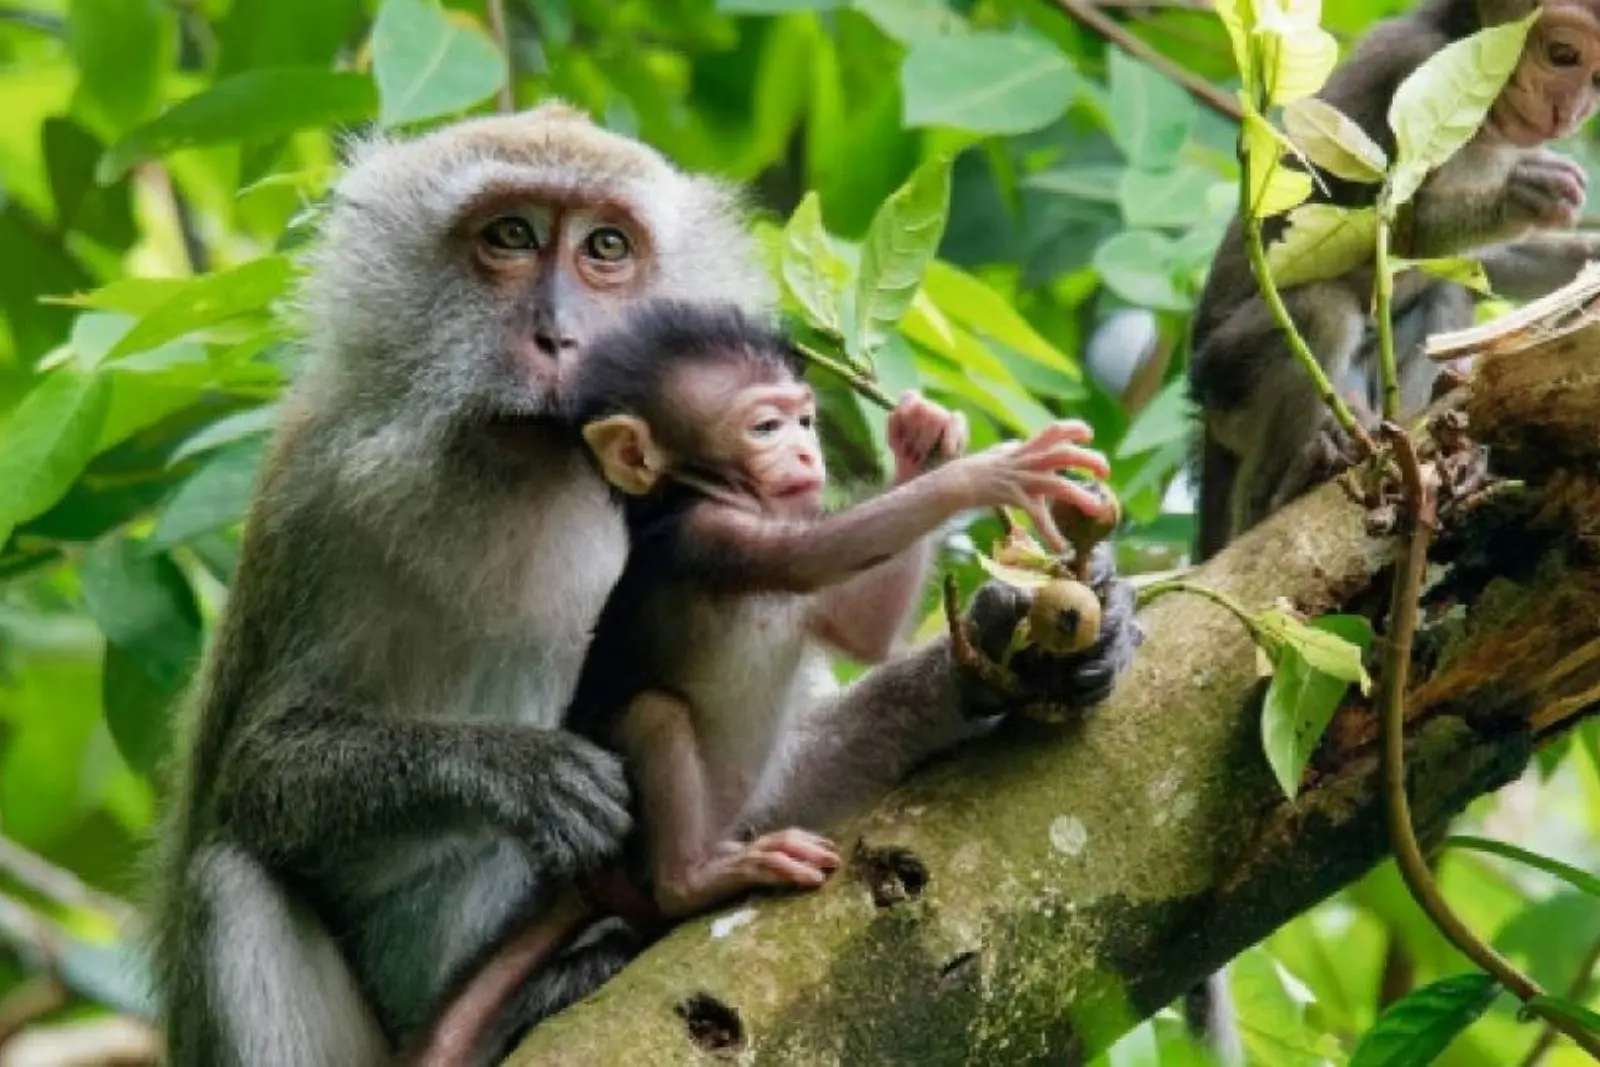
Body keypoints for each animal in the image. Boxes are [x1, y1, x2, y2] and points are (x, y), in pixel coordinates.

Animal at [148, 101, 781, 1067]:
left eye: (606, 247)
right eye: (511, 235)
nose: (558, 337)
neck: (531, 474)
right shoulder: (315, 496)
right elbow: (255, 771)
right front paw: (515, 770)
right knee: (230, 880)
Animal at [409, 300, 1118, 1067]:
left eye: (804, 420)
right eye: (765, 428)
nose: (806, 454)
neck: (718, 494)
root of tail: (591, 878)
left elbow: (863, 629)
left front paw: (923, 445)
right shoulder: (710, 537)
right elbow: (818, 557)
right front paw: (986, 473)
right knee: (654, 714)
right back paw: (695, 880)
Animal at [1190, 0, 1600, 563]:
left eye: (1598, 79)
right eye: (1562, 54)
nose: (1569, 112)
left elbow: (1477, 266)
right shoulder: (1410, 66)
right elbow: (1373, 230)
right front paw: (1513, 199)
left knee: (1444, 294)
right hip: (1224, 378)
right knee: (1322, 309)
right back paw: (1281, 489)